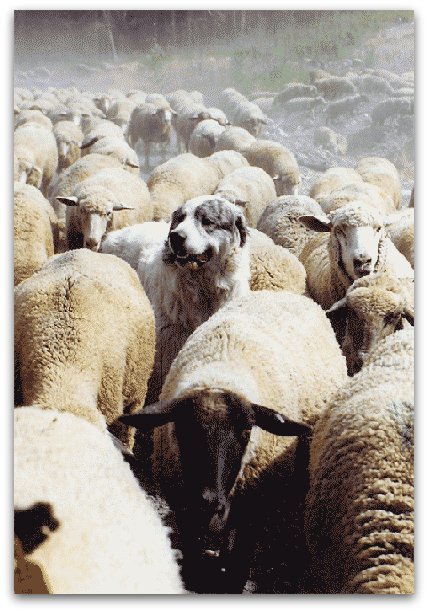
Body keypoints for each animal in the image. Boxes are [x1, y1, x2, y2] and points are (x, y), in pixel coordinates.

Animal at [120, 290, 348, 592]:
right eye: (182, 431)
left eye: (246, 432)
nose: (209, 505)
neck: (221, 371)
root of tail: (283, 292)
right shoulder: (184, 513)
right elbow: (193, 566)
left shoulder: (252, 514)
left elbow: (237, 572)